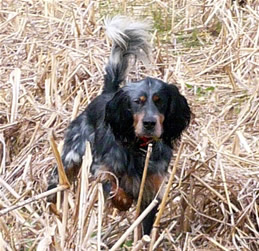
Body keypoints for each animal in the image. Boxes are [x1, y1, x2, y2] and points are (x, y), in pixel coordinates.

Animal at [47, 15, 192, 235]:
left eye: (160, 101)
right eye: (137, 101)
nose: (149, 123)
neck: (139, 148)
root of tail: (107, 93)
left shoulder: (151, 191)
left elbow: (145, 226)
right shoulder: (101, 169)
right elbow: (114, 188)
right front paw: (123, 201)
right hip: (71, 154)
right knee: (56, 178)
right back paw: (51, 206)